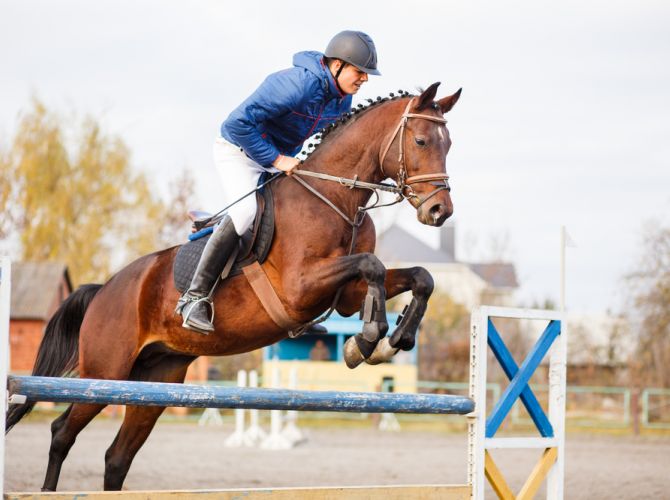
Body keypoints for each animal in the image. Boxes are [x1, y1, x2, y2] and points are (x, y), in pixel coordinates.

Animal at [6, 80, 462, 490]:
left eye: (449, 144)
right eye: (421, 140)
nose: (440, 211)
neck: (334, 198)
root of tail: (103, 289)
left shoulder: (344, 295)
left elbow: (419, 278)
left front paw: (393, 339)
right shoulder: (300, 287)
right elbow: (372, 266)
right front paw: (368, 340)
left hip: (154, 381)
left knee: (117, 457)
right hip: (105, 374)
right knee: (62, 433)